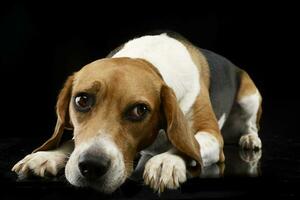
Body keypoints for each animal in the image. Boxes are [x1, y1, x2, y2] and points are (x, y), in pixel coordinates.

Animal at [11, 32, 262, 194]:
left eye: (140, 110)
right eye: (82, 100)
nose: (92, 166)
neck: (147, 59)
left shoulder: (211, 134)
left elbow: (190, 146)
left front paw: (166, 162)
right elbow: (71, 142)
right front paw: (46, 156)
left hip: (250, 96)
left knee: (251, 125)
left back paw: (249, 139)